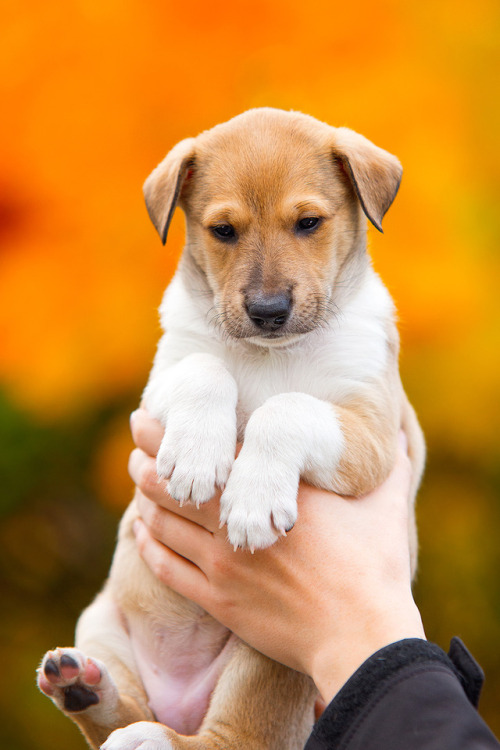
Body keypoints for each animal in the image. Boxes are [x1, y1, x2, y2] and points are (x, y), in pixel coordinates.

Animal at [37, 107, 424, 750]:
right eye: (223, 231)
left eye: (309, 223)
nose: (268, 311)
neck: (271, 356)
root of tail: (180, 701)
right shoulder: (160, 385)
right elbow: (206, 368)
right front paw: (196, 460)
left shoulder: (372, 433)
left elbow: (286, 407)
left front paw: (251, 501)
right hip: (101, 618)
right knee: (121, 715)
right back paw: (82, 685)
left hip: (267, 654)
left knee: (234, 738)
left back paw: (145, 731)